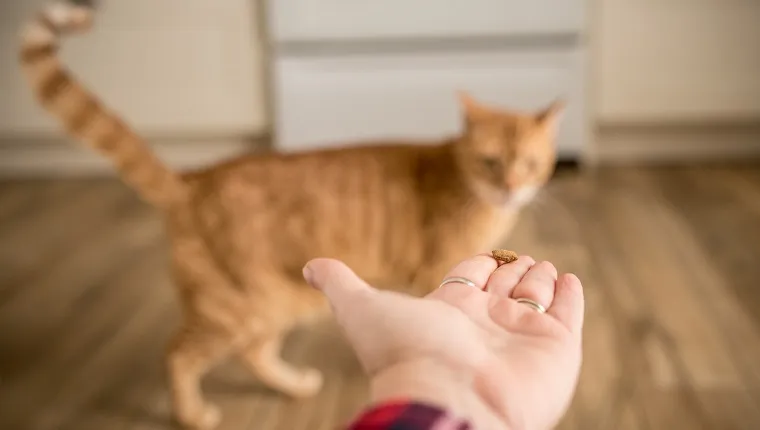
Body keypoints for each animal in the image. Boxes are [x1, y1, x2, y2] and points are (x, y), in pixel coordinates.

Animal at [17, 1, 564, 428]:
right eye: (490, 162)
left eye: (531, 165)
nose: (512, 188)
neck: (463, 181)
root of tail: (195, 178)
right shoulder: (434, 268)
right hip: (235, 306)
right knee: (178, 355)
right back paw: (193, 415)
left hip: (278, 302)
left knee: (254, 353)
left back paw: (294, 385)